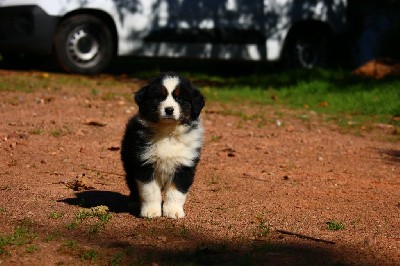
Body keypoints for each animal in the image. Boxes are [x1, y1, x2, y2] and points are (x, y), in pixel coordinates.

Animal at [120, 72, 205, 218]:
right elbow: (150, 191)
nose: (169, 110)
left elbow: (176, 192)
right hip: (129, 162)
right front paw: (151, 211)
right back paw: (134, 202)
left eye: (180, 98)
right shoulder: (144, 163)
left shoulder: (184, 165)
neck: (167, 132)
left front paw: (173, 211)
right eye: (159, 96)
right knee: (132, 183)